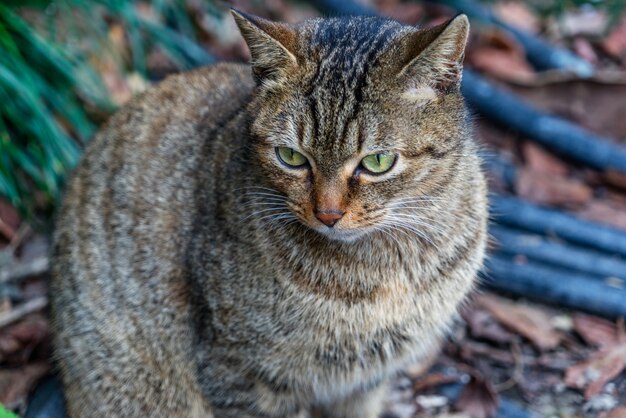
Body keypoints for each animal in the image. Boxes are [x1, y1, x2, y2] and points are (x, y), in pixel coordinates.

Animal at [50, 9, 488, 418]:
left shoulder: (367, 380)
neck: (384, 272)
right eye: (291, 157)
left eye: (378, 162)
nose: (328, 213)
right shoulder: (239, 370)